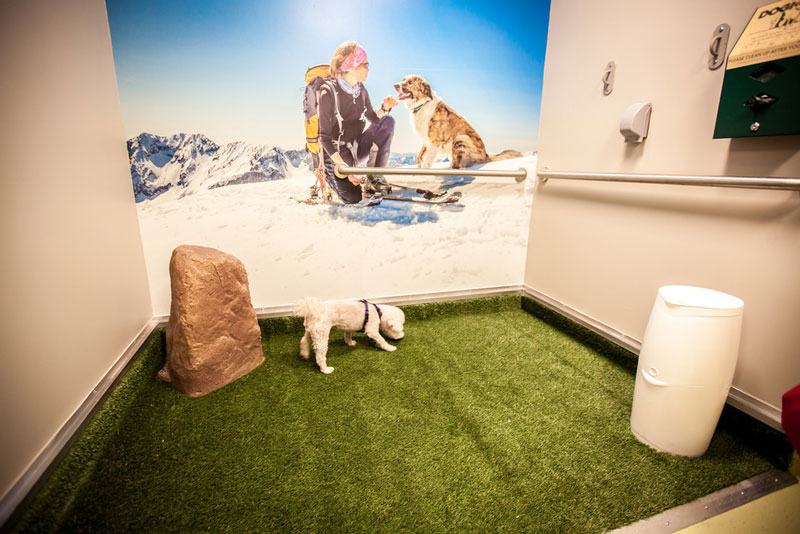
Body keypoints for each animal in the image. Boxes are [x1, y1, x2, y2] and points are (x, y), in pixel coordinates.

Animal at [392, 75, 520, 170]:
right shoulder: (426, 139)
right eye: (403, 80)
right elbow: (420, 155)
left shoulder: (435, 141)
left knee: (456, 166)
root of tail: (486, 155)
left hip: (461, 138)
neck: (422, 104)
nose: (395, 85)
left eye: (410, 82)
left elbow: (427, 162)